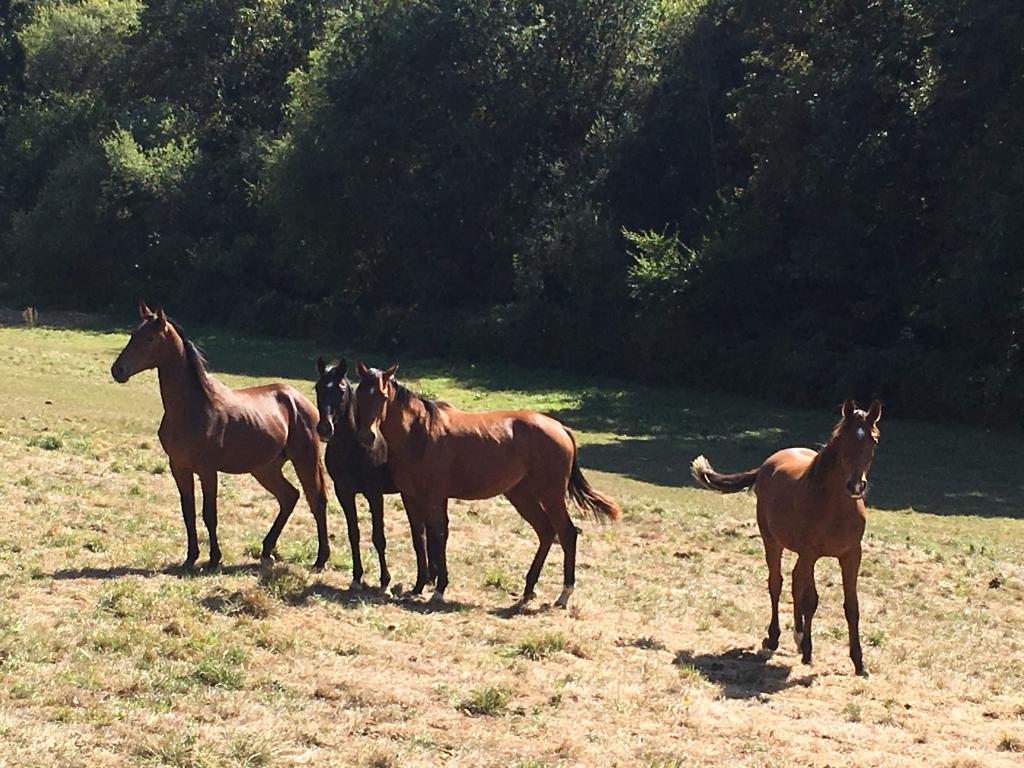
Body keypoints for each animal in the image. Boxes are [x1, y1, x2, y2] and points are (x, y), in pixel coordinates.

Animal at [108, 303, 325, 573]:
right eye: (133, 335)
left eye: (149, 338)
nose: (118, 370)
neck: (192, 408)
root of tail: (300, 400)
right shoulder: (179, 467)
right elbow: (188, 512)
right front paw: (190, 557)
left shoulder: (207, 470)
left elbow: (209, 514)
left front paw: (213, 559)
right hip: (265, 468)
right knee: (289, 497)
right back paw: (267, 551)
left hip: (304, 460)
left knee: (316, 501)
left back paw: (320, 560)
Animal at [311, 360, 399, 589]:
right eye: (318, 388)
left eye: (341, 391)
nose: (324, 429)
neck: (353, 447)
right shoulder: (344, 492)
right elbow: (354, 534)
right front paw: (357, 577)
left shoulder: (375, 494)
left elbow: (378, 537)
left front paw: (385, 580)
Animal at [352, 364, 622, 610]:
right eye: (359, 395)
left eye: (382, 396)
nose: (367, 436)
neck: (420, 434)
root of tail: (560, 428)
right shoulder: (411, 497)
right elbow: (420, 539)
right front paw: (418, 587)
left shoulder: (436, 497)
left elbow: (439, 536)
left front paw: (439, 589)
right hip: (521, 495)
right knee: (546, 532)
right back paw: (528, 590)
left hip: (550, 495)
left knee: (567, 533)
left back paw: (563, 595)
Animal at [692, 399, 884, 675]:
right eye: (842, 439)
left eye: (874, 440)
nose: (856, 486)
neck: (834, 506)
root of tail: (766, 465)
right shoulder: (810, 553)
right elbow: (811, 600)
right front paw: (808, 651)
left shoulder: (851, 556)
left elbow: (851, 607)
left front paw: (859, 663)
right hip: (773, 542)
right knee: (777, 583)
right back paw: (775, 638)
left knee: (794, 583)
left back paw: (798, 636)